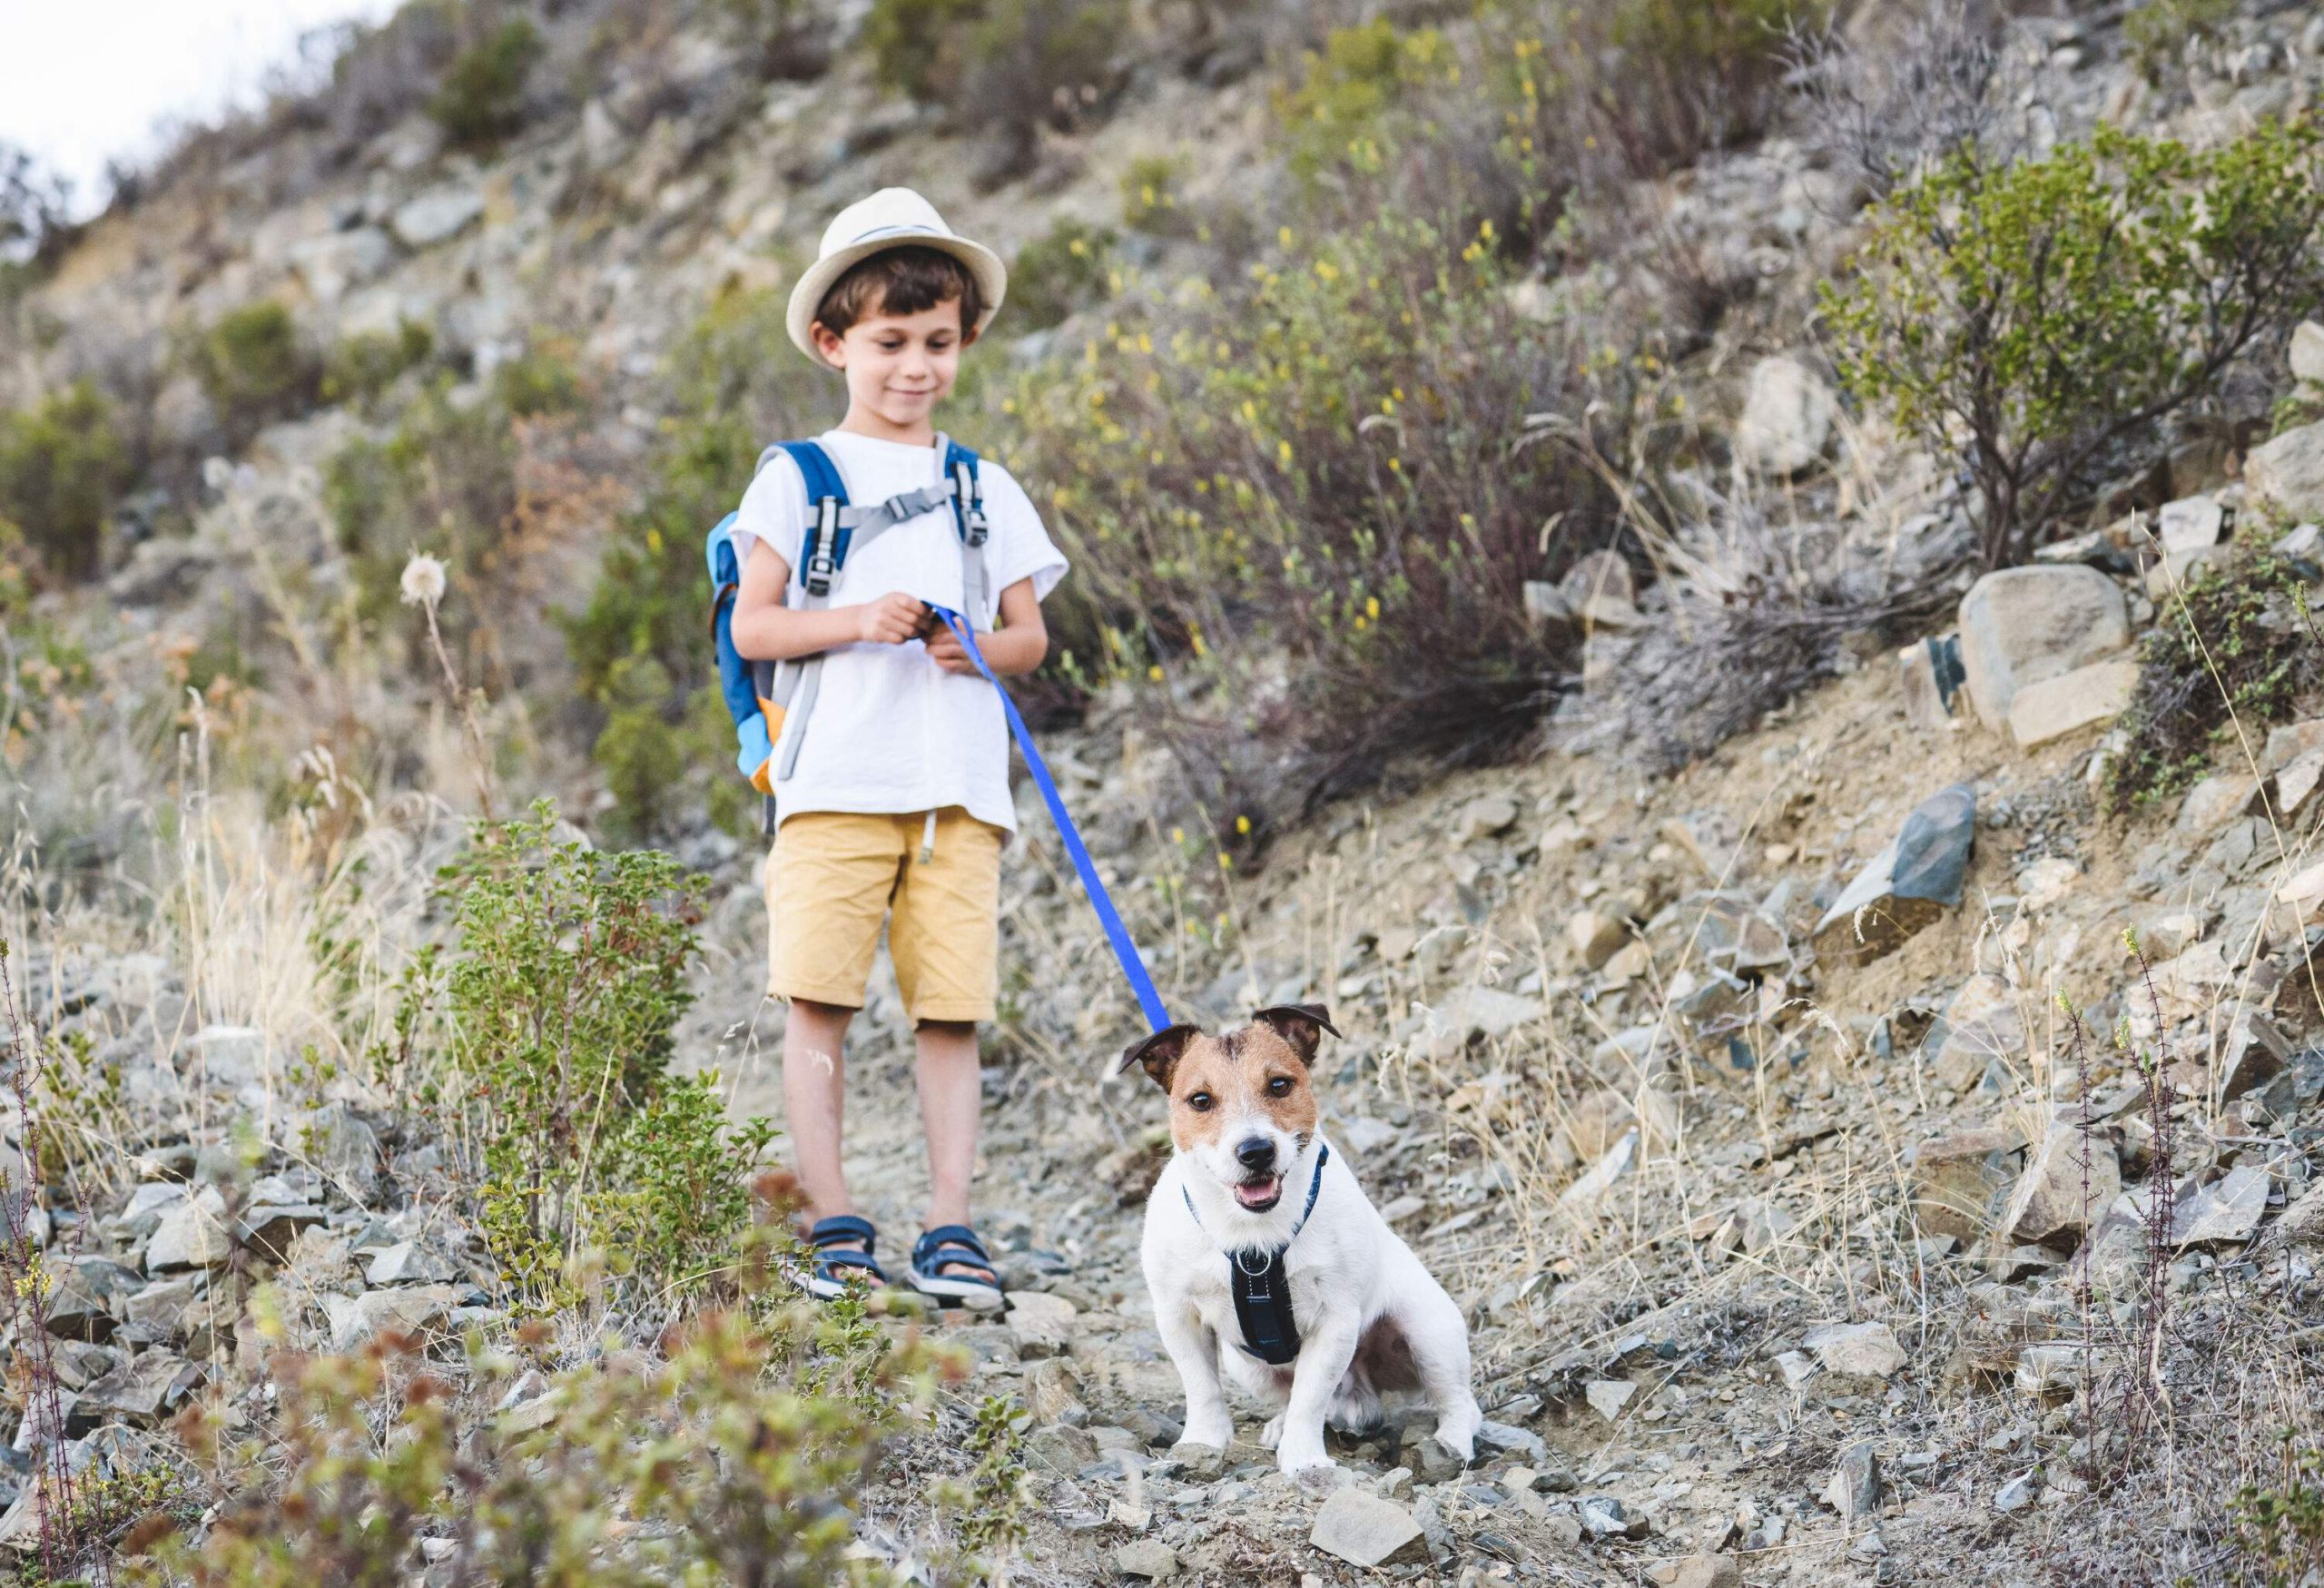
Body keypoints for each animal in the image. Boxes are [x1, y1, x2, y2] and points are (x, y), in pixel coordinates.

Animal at [1119, 1004, 1478, 1478]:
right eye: (1200, 1100)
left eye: (1279, 1085)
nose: (1255, 1151)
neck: (1254, 1238)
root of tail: (1359, 1391)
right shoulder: (1179, 1316)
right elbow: (1202, 1387)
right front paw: (1202, 1443)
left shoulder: (1334, 1321)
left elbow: (1310, 1398)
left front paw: (1305, 1460)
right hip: (1246, 1365)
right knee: (1288, 1397)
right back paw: (1278, 1425)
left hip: (1428, 1331)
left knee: (1457, 1399)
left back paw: (1453, 1442)